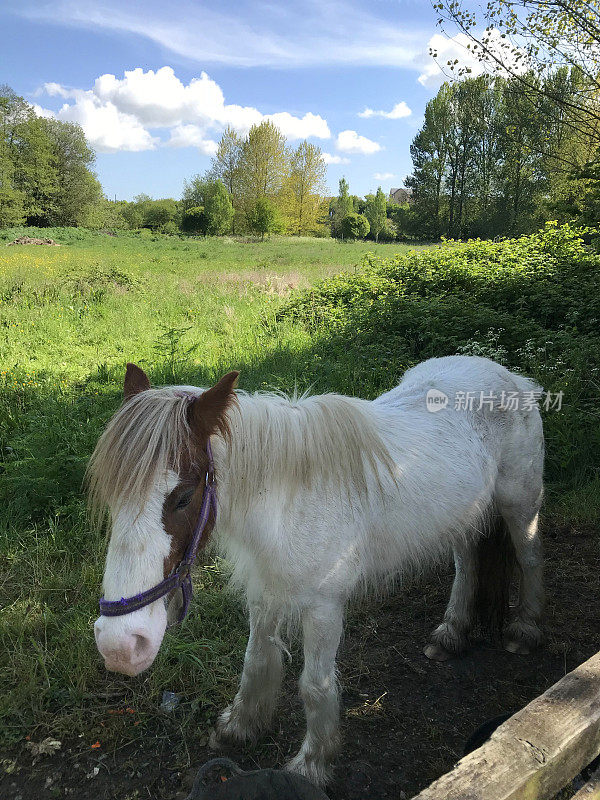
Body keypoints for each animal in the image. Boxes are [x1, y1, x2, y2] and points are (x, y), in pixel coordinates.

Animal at [89, 354, 544, 780]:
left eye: (182, 497)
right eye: (112, 497)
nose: (121, 645)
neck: (287, 504)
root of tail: (507, 374)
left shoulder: (323, 608)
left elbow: (315, 684)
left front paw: (312, 764)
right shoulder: (265, 593)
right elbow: (256, 660)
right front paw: (241, 725)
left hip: (519, 506)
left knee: (530, 557)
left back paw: (525, 630)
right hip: (466, 517)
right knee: (467, 565)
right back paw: (451, 632)